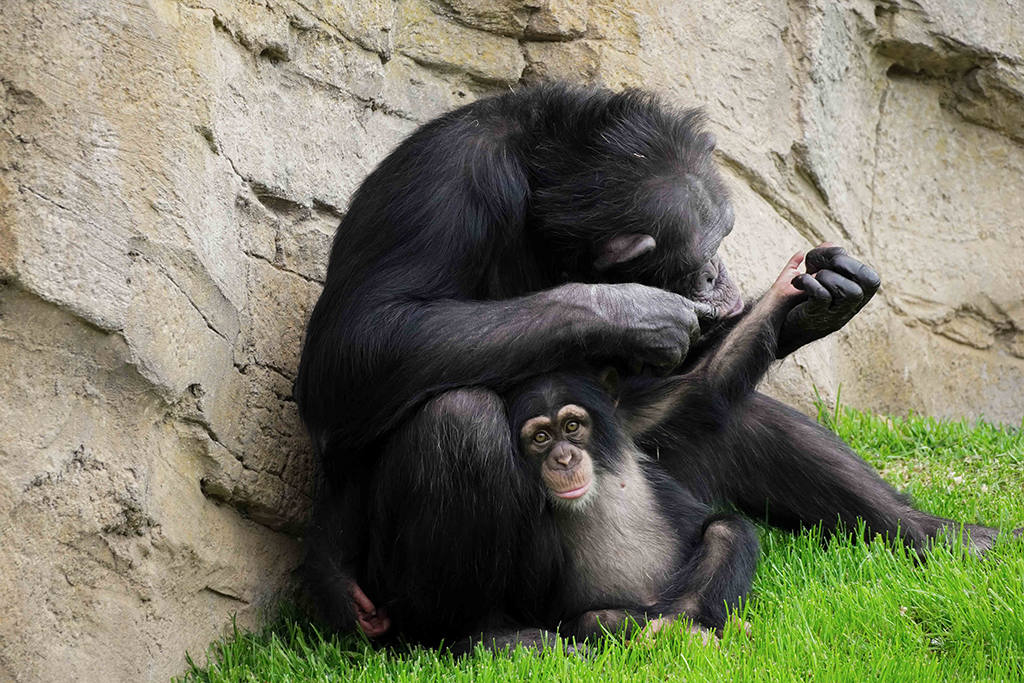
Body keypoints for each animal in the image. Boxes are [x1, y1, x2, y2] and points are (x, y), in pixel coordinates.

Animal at [292, 81, 1003, 647]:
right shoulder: (444, 179)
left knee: (730, 412)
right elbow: (358, 342)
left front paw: (808, 300)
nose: (719, 270)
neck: (541, 203)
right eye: (706, 249)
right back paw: (480, 636)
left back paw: (944, 537)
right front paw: (632, 312)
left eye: (725, 239)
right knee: (457, 419)